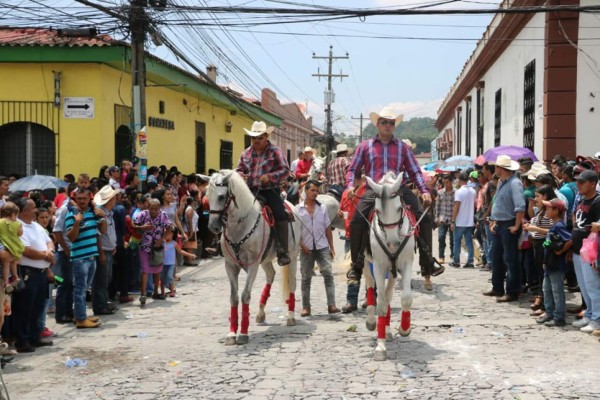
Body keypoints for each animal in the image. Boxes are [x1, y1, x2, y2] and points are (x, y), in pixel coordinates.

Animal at [207, 170, 302, 346]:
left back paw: (291, 317)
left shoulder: (253, 265)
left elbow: (245, 295)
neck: (240, 226)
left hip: (291, 256)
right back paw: (260, 313)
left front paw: (243, 333)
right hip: (265, 260)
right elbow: (234, 298)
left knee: (292, 283)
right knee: (271, 275)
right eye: (207, 196)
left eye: (222, 197)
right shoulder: (231, 266)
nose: (213, 226)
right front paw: (232, 333)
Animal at [360, 173, 418, 360]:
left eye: (399, 208)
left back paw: (387, 329)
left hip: (392, 270)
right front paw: (380, 346)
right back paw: (372, 321)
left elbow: (405, 298)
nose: (393, 243)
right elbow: (380, 304)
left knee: (388, 294)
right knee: (372, 287)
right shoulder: (378, 266)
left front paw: (404, 328)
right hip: (367, 263)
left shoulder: (406, 263)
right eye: (378, 211)